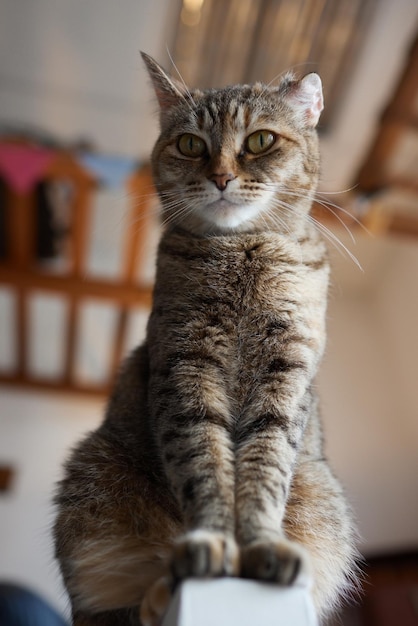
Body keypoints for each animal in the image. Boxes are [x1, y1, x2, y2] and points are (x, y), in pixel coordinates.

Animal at [53, 52, 360, 624]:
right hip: (92, 481)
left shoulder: (285, 376)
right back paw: (161, 588)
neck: (244, 250)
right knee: (117, 609)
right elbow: (207, 466)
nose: (220, 177)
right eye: (191, 144)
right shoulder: (186, 365)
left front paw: (260, 546)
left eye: (260, 140)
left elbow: (265, 470)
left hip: (324, 499)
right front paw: (212, 543)